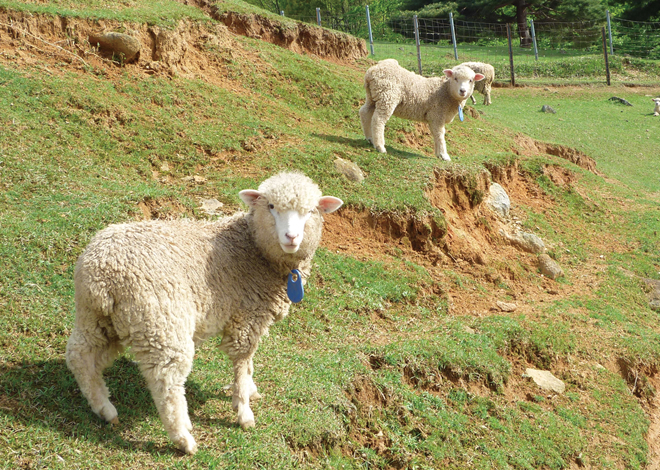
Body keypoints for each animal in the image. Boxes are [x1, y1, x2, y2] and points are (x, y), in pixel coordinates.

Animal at [65, 171, 346, 454]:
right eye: (271, 206)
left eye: (310, 211)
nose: (291, 237)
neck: (254, 248)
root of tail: (103, 273)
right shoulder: (247, 318)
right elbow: (242, 363)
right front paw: (244, 410)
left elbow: (248, 365)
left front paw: (250, 390)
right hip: (161, 322)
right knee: (166, 382)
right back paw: (183, 438)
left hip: (96, 317)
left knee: (80, 356)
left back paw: (104, 408)